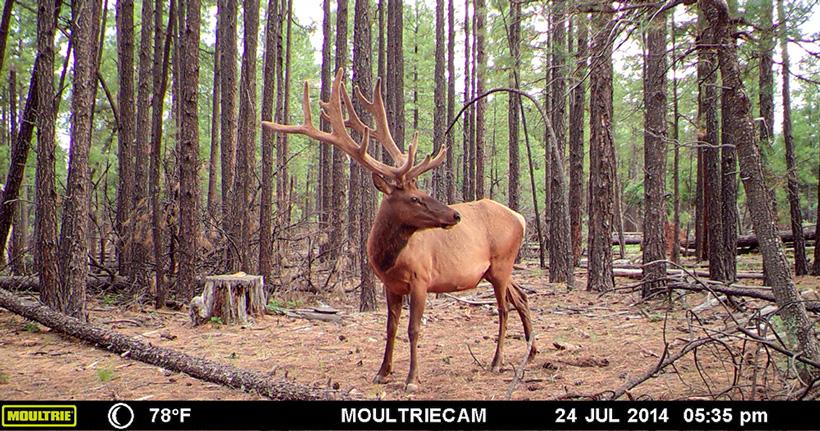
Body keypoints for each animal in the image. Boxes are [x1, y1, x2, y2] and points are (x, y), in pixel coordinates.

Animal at [262, 69, 537, 392]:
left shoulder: (421, 279)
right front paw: (383, 371)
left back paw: (497, 361)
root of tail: (520, 218)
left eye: (422, 191)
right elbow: (390, 327)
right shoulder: (389, 285)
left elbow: (413, 329)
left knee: (504, 308)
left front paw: (412, 378)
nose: (454, 214)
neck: (386, 259)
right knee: (521, 297)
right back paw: (532, 350)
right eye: (415, 197)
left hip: (501, 264)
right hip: (497, 269)